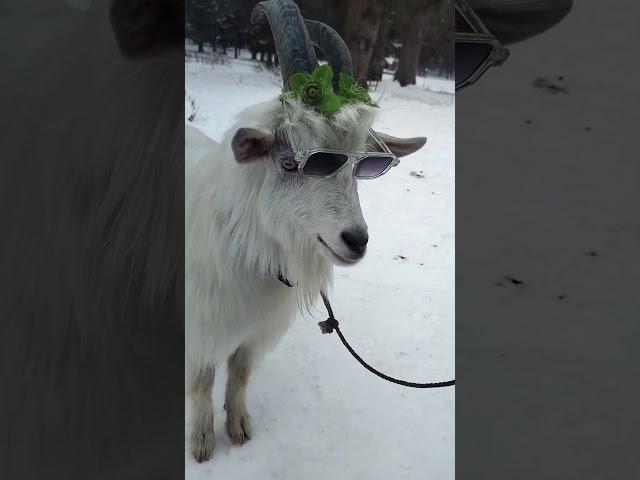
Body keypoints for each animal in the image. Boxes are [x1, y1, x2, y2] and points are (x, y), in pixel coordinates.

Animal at [185, 0, 424, 464]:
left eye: (362, 166)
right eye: (291, 163)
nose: (356, 240)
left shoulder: (256, 329)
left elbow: (240, 373)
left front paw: (240, 428)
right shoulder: (201, 323)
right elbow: (202, 381)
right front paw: (202, 442)